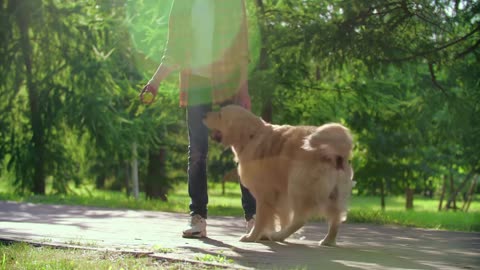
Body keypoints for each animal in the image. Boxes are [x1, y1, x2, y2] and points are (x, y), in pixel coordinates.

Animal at [202, 104, 352, 246]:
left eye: (220, 115)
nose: (204, 114)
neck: (251, 136)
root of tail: (334, 153)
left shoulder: (264, 194)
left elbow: (261, 218)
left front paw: (252, 236)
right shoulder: (279, 195)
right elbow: (277, 217)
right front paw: (264, 235)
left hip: (297, 187)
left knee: (300, 219)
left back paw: (279, 236)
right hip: (332, 195)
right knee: (335, 218)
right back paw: (327, 240)